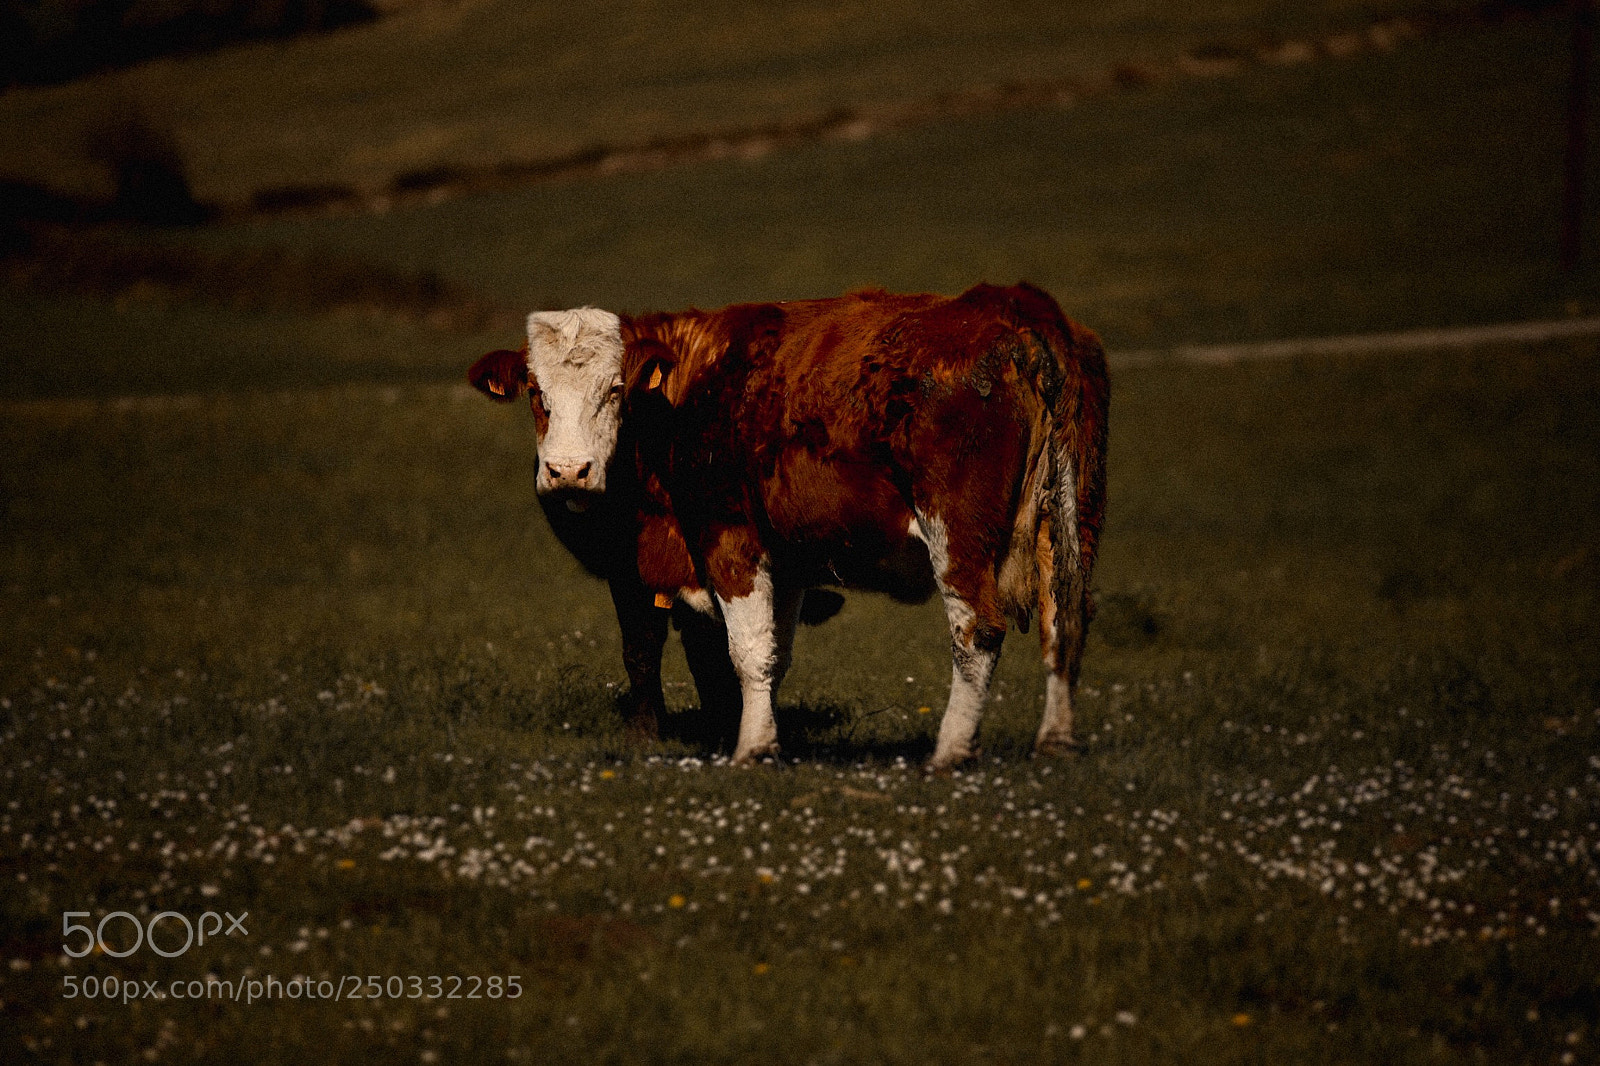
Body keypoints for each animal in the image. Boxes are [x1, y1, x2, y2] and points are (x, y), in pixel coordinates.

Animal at [467, 309, 840, 743]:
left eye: (616, 388)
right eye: (533, 390)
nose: (569, 471)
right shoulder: (629, 569)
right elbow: (643, 645)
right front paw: (646, 729)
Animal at [620, 284, 1108, 770]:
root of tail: (1011, 303)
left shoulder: (728, 534)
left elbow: (749, 650)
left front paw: (753, 746)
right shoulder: (787, 561)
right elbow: (776, 653)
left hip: (957, 533)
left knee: (978, 632)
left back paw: (950, 751)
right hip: (1068, 528)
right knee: (1064, 623)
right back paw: (1055, 739)